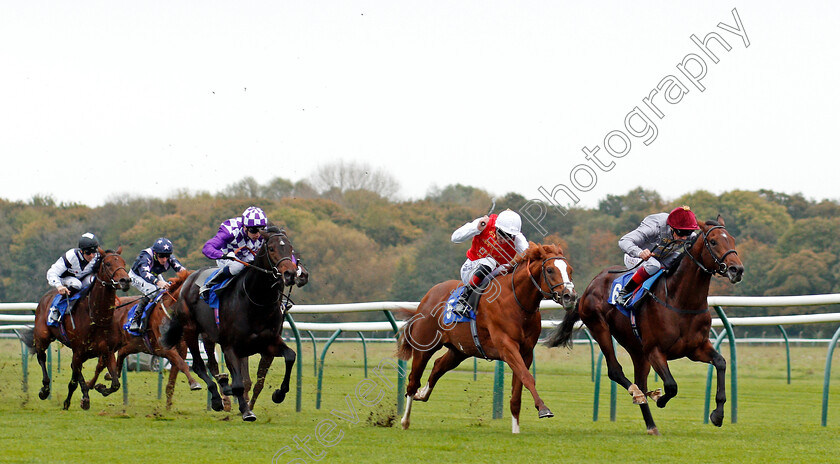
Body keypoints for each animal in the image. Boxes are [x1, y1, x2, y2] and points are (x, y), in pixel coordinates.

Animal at [25, 248, 130, 408]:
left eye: (123, 263)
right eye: (108, 263)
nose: (125, 281)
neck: (95, 317)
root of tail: (46, 297)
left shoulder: (107, 351)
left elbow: (115, 384)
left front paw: (100, 388)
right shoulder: (78, 352)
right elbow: (76, 378)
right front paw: (84, 398)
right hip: (42, 336)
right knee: (41, 357)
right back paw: (45, 389)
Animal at [86, 268, 203, 410]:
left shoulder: (181, 350)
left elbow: (173, 379)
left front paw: (168, 408)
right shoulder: (165, 349)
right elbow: (183, 364)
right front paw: (194, 383)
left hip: (131, 345)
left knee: (118, 362)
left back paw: (105, 380)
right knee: (101, 365)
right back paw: (90, 384)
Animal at [159, 227, 306, 422]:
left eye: (290, 248)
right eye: (272, 248)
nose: (290, 274)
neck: (257, 302)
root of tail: (188, 280)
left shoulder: (269, 343)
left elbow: (290, 356)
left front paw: (278, 394)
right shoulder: (230, 347)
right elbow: (238, 384)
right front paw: (246, 411)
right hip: (191, 330)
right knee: (198, 364)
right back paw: (216, 399)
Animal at [398, 241, 576, 434]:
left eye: (570, 270)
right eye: (550, 270)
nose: (570, 296)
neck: (516, 301)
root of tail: (427, 296)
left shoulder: (526, 352)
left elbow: (517, 394)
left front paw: (516, 431)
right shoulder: (507, 347)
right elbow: (527, 377)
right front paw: (543, 409)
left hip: (460, 350)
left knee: (438, 366)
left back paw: (422, 394)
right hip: (424, 347)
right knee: (412, 381)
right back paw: (405, 420)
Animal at [548, 218, 744, 436]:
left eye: (732, 239)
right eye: (713, 241)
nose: (737, 269)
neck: (681, 301)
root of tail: (589, 287)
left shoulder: (696, 348)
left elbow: (721, 362)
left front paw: (718, 415)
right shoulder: (655, 350)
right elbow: (671, 385)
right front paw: (659, 399)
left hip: (637, 350)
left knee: (640, 380)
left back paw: (651, 424)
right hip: (600, 329)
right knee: (616, 371)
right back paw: (639, 395)